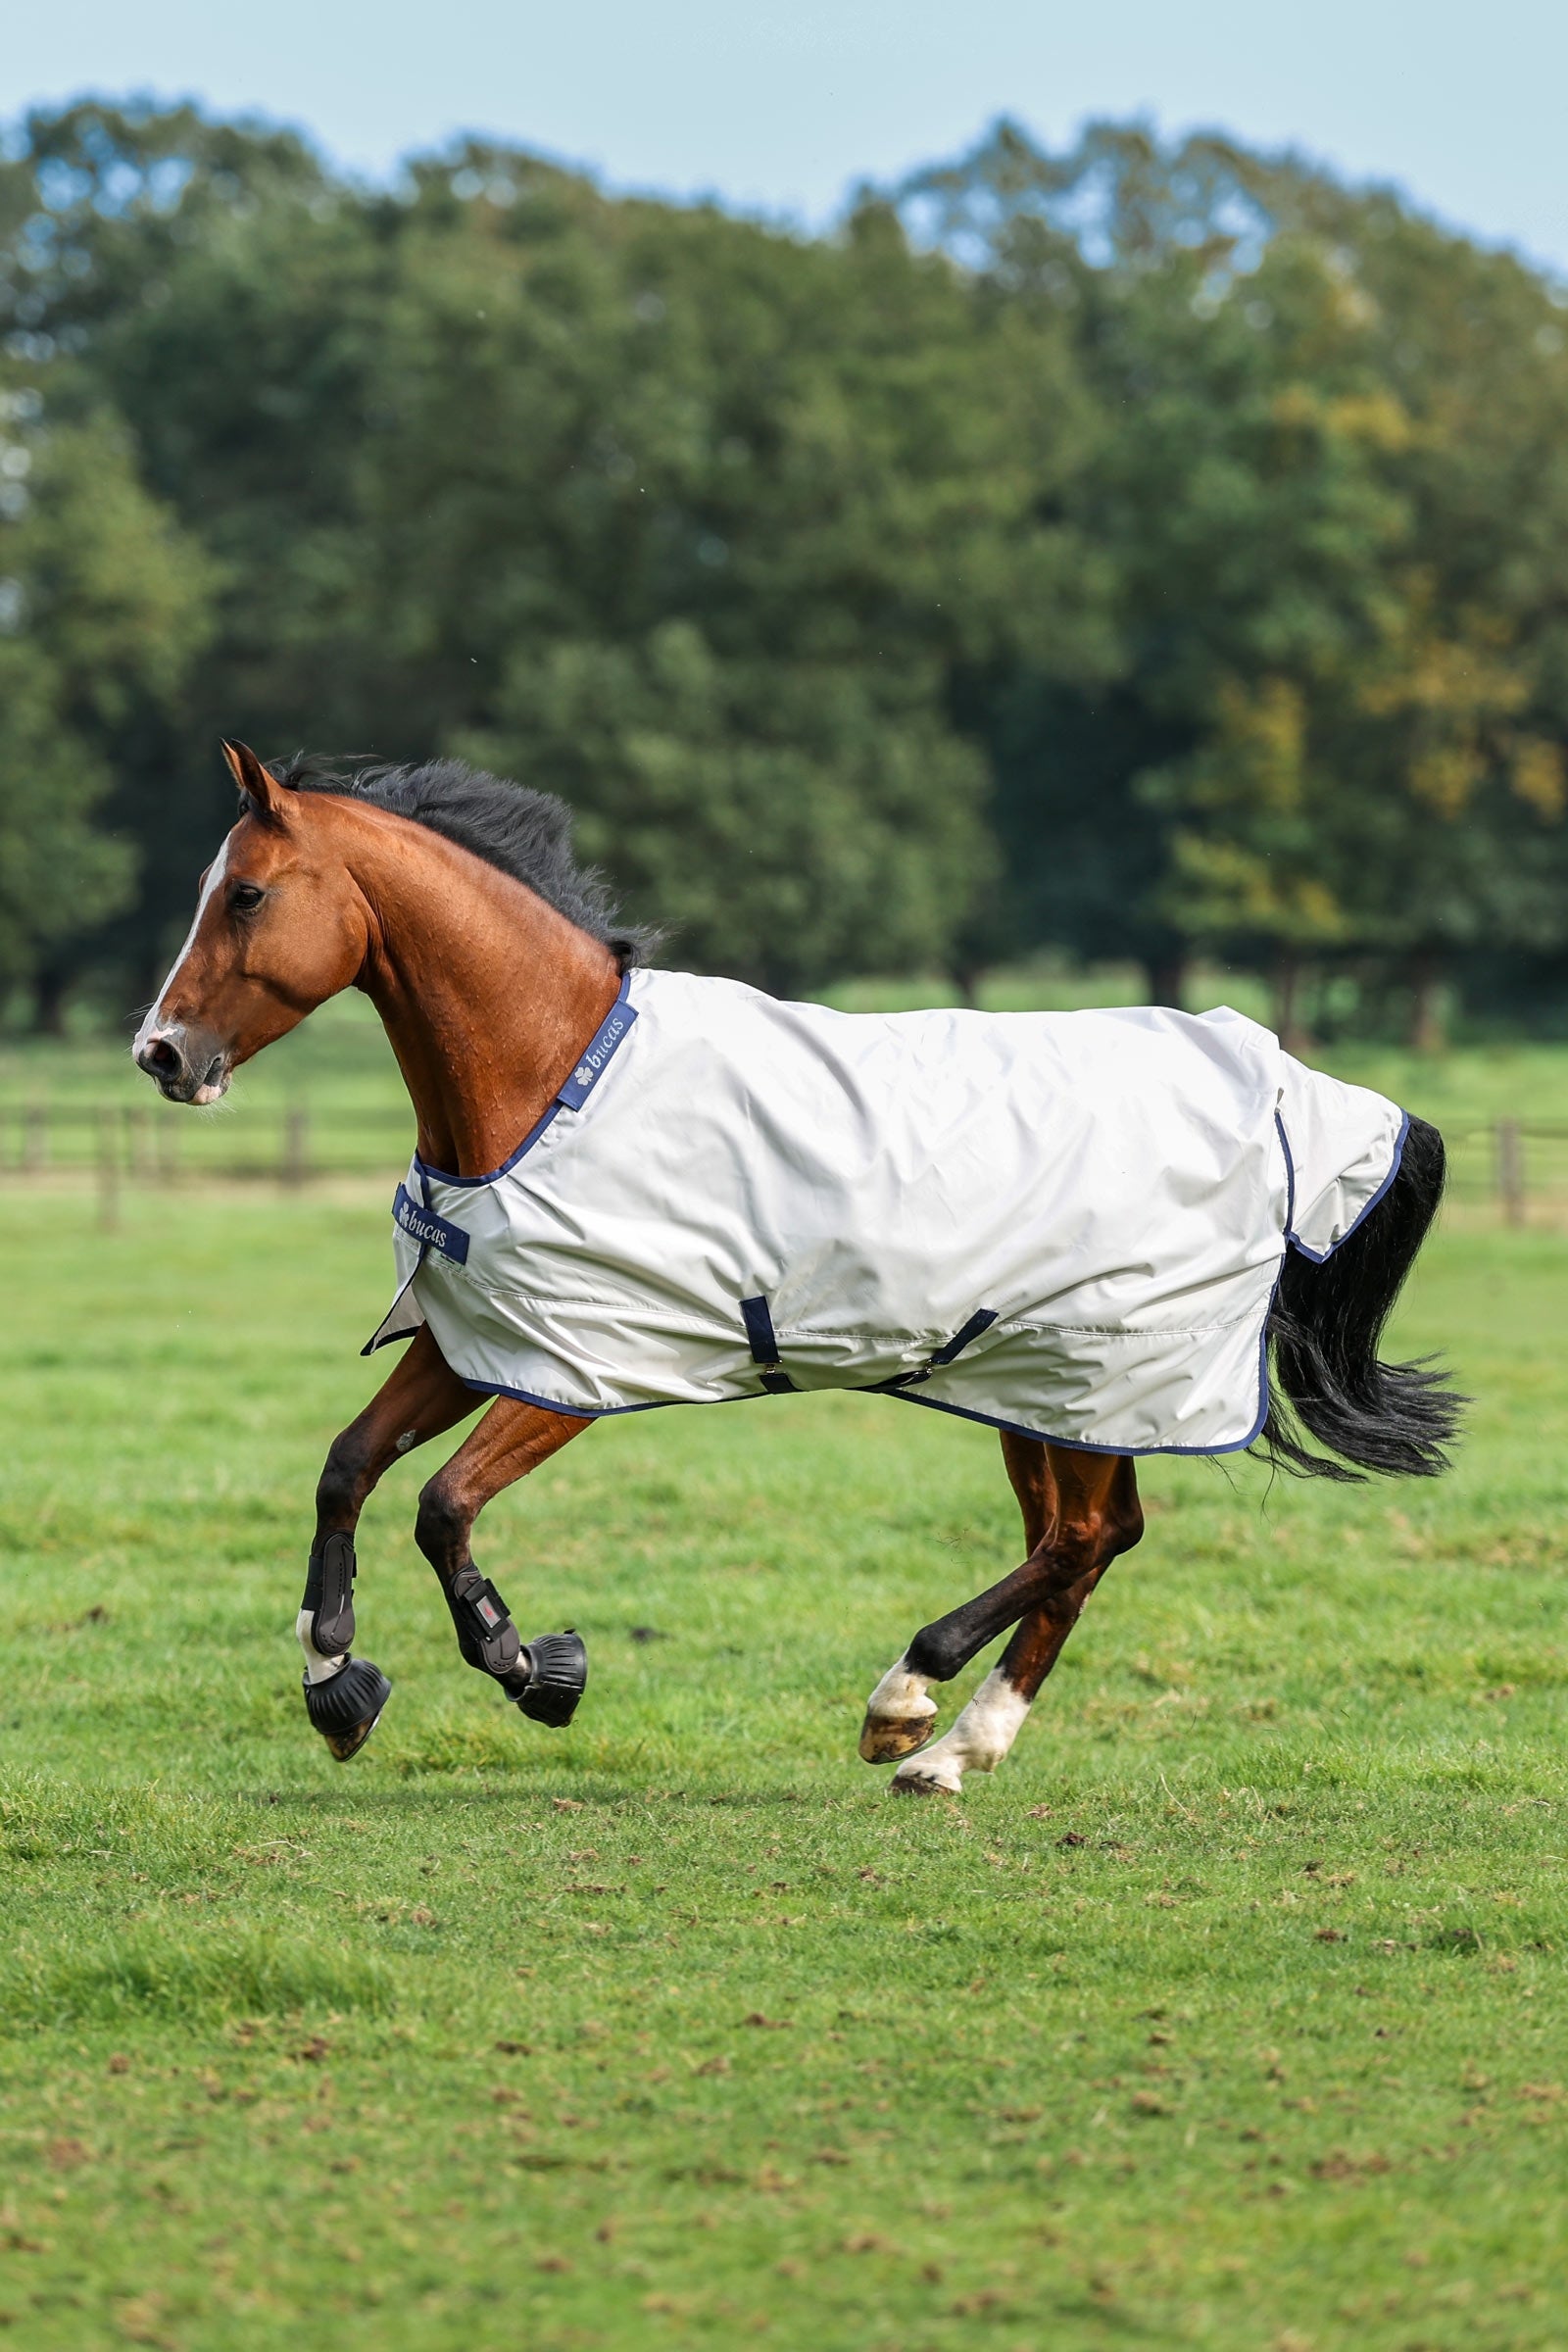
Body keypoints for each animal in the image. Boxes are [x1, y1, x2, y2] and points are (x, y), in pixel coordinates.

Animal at [133, 741, 1461, 1794]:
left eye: (244, 893)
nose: (161, 1053)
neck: (552, 1072)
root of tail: (1279, 1082)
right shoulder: (480, 1343)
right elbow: (346, 1469)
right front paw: (334, 1680)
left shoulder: (577, 1370)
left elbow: (440, 1505)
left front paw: (534, 1670)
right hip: (1035, 1388)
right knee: (1090, 1542)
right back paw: (950, 1753)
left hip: (1093, 1372)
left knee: (1083, 1541)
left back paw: (908, 1700)